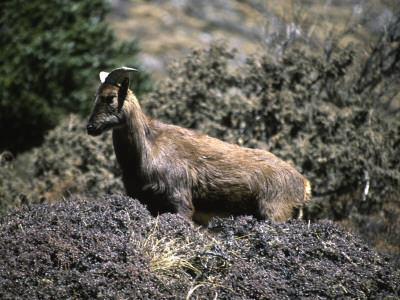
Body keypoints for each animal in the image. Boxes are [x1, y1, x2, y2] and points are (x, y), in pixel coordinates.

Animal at [86, 67, 312, 224]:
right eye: (95, 96)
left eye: (110, 97)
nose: (90, 127)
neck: (148, 148)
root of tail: (303, 184)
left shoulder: (179, 198)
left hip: (275, 212)